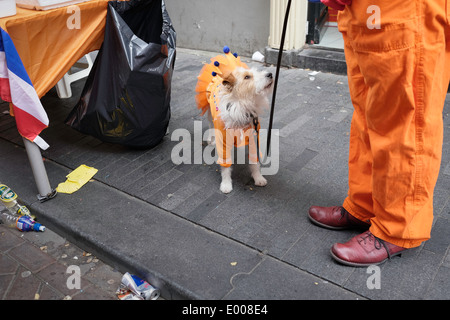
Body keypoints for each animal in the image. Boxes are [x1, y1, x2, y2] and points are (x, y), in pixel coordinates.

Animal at [194, 48, 272, 192]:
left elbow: (254, 162)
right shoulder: (223, 142)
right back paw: (211, 139)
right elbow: (225, 166)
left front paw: (258, 178)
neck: (241, 106)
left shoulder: (252, 139)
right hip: (209, 112)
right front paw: (226, 184)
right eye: (247, 77)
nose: (270, 74)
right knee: (211, 125)